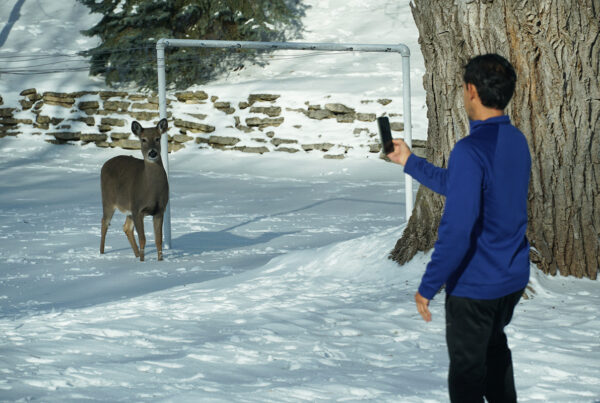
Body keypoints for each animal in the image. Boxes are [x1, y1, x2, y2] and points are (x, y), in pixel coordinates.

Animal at [99, 118, 168, 262]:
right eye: (143, 139)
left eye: (158, 138)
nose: (152, 153)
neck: (152, 191)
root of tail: (105, 164)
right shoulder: (138, 208)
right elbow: (143, 239)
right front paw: (142, 262)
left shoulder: (160, 210)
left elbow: (158, 240)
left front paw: (160, 261)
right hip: (108, 199)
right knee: (104, 222)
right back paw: (102, 253)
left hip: (128, 209)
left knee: (126, 227)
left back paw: (135, 255)